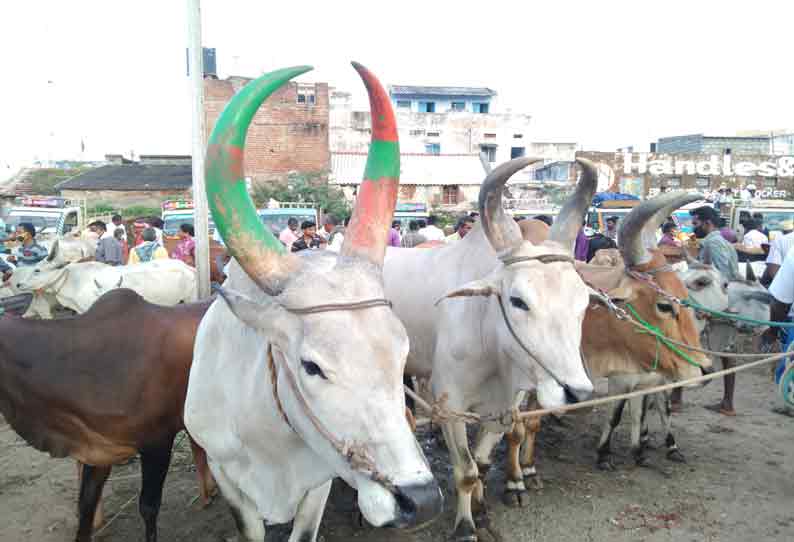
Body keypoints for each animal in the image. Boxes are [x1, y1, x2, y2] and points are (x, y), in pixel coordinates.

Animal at [378, 156, 592, 540]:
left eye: (584, 302)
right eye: (518, 300)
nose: (576, 393)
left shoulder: (502, 407)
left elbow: (480, 463)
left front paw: (481, 508)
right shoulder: (452, 405)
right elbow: (465, 470)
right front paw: (465, 525)